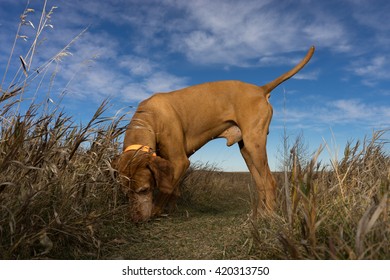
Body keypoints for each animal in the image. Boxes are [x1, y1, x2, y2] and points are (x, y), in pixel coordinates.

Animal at [115, 46, 314, 222]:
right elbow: (173, 189)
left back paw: (270, 218)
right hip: (247, 150)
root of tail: (260, 89)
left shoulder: (180, 161)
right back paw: (259, 215)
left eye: (144, 190)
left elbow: (166, 189)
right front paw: (169, 210)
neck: (149, 118)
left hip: (254, 144)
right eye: (126, 193)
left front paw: (156, 211)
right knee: (261, 184)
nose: (135, 219)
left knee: (270, 182)